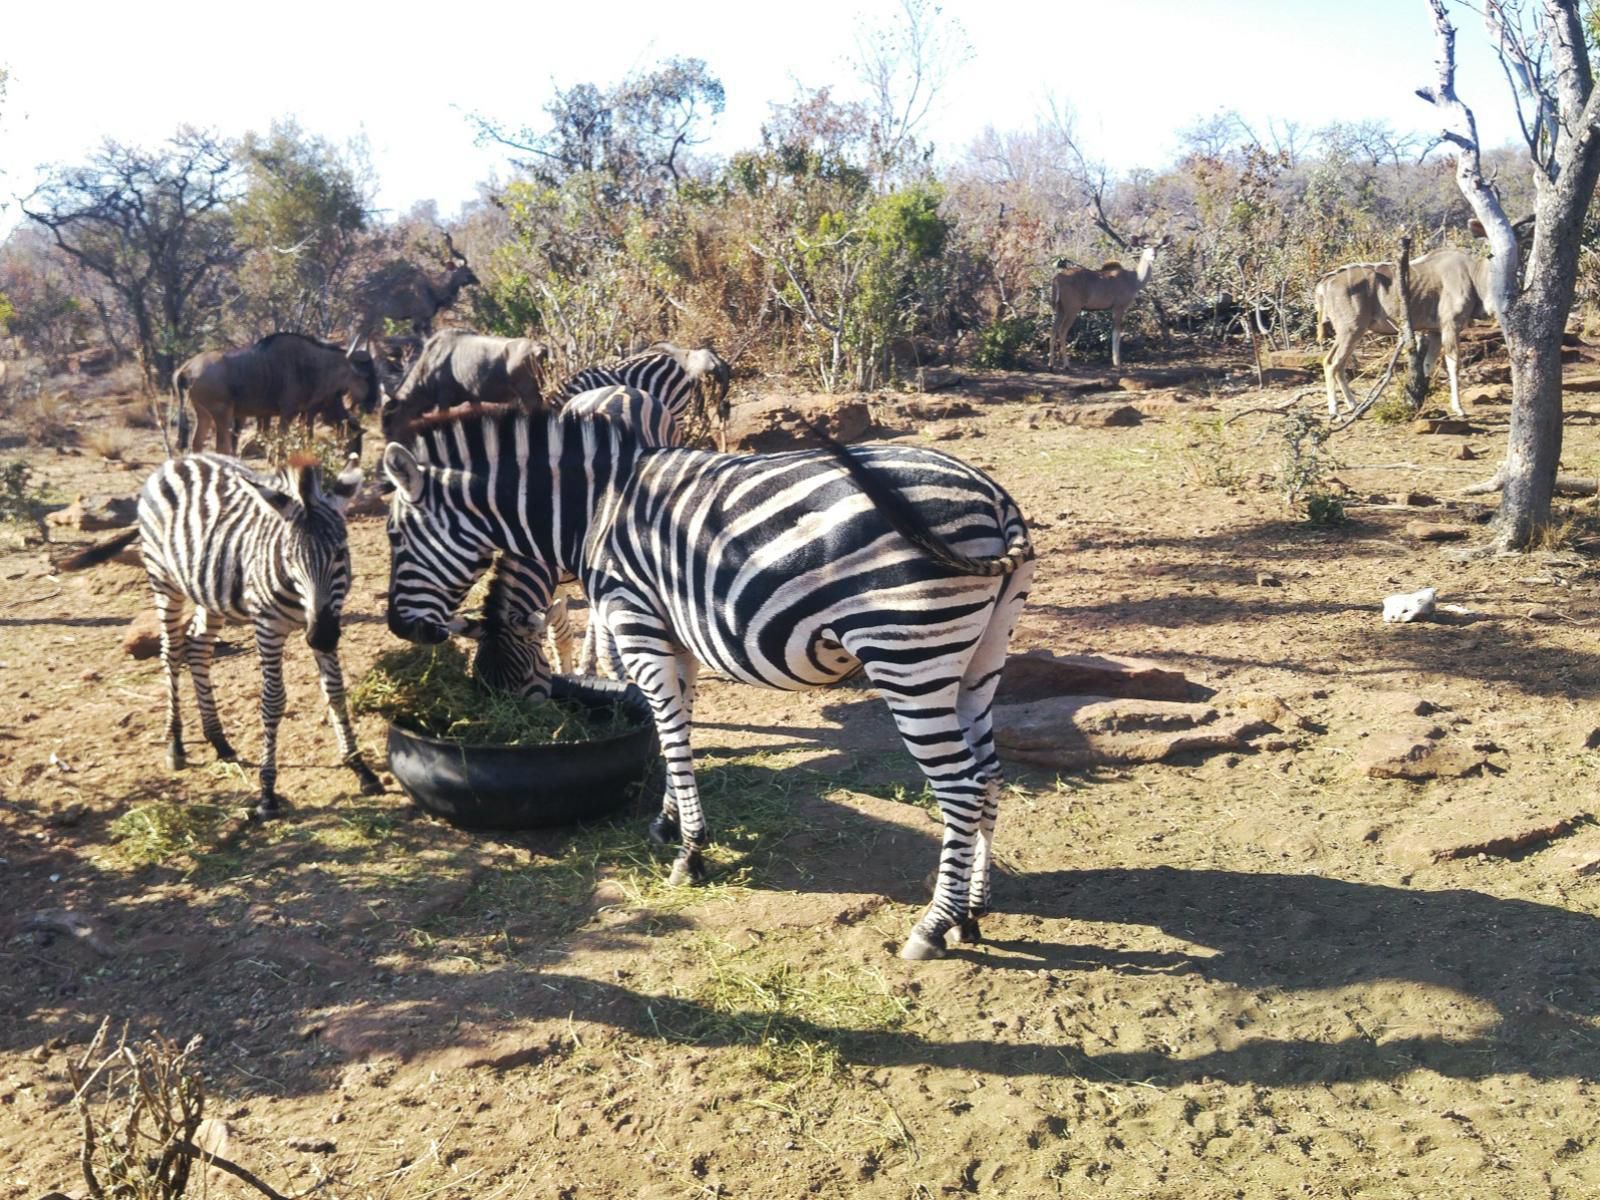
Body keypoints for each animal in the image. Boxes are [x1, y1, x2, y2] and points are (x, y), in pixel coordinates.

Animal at [64, 454, 382, 819]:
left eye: (341, 553)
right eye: (289, 557)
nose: (322, 639)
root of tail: (177, 460)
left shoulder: (327, 615)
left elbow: (335, 691)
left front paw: (360, 768)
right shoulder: (268, 627)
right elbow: (273, 701)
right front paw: (267, 792)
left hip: (209, 591)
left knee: (198, 648)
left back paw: (218, 739)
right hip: (163, 580)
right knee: (171, 652)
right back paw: (175, 744)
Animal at [384, 400, 1036, 966]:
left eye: (394, 536)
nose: (398, 626)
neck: (592, 510)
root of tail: (996, 499)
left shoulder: (634, 620)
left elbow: (669, 731)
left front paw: (690, 853)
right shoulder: (679, 635)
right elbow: (679, 728)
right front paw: (669, 823)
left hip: (907, 654)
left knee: (960, 785)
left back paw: (933, 925)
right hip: (979, 659)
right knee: (989, 773)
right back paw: (973, 911)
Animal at [1043, 233, 1171, 366]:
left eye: (1158, 247)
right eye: (1144, 247)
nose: (1153, 255)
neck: (1134, 279)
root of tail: (1057, 278)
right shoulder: (1119, 307)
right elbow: (1116, 333)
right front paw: (1117, 363)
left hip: (1060, 309)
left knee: (1053, 330)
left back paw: (1051, 365)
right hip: (1072, 309)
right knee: (1062, 331)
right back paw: (1066, 365)